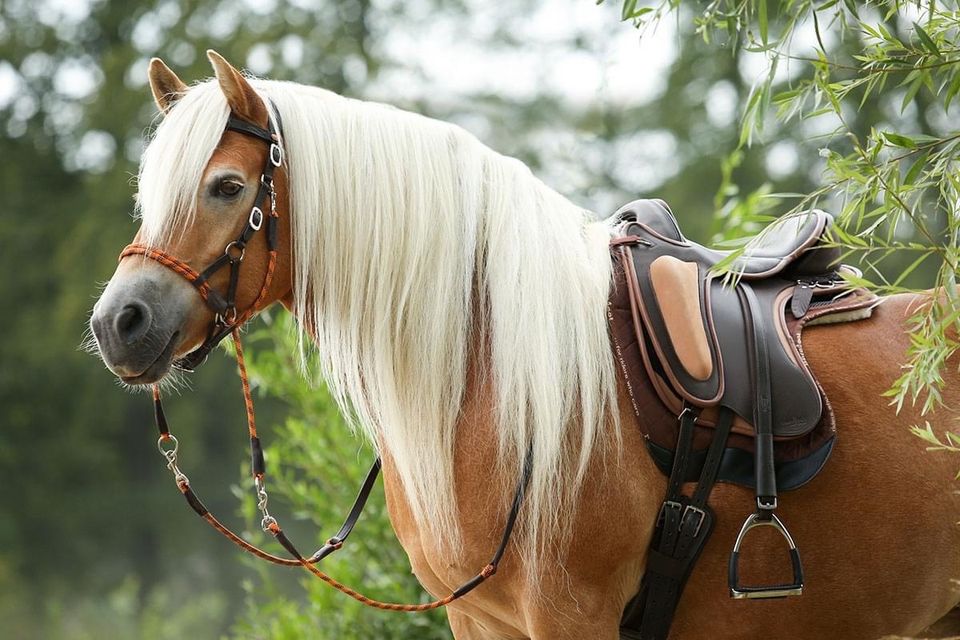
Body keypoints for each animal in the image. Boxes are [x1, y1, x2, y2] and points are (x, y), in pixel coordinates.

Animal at [90, 52, 960, 636]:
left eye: (228, 187)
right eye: (147, 193)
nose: (117, 323)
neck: (492, 375)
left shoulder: (569, 619)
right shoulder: (480, 622)